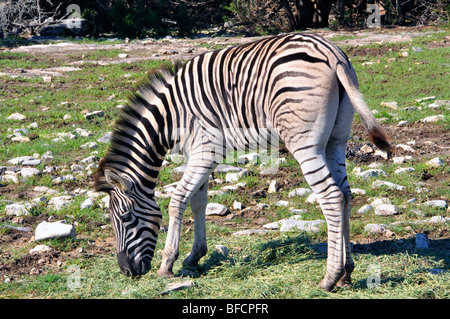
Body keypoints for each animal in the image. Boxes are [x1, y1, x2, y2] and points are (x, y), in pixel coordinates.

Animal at [94, 33, 390, 292]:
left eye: (126, 218)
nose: (127, 272)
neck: (169, 117)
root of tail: (331, 52)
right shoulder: (203, 154)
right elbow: (198, 200)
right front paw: (195, 256)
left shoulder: (204, 150)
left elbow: (178, 199)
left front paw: (168, 264)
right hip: (336, 141)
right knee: (346, 195)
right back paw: (347, 273)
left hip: (304, 142)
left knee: (332, 197)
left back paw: (329, 278)